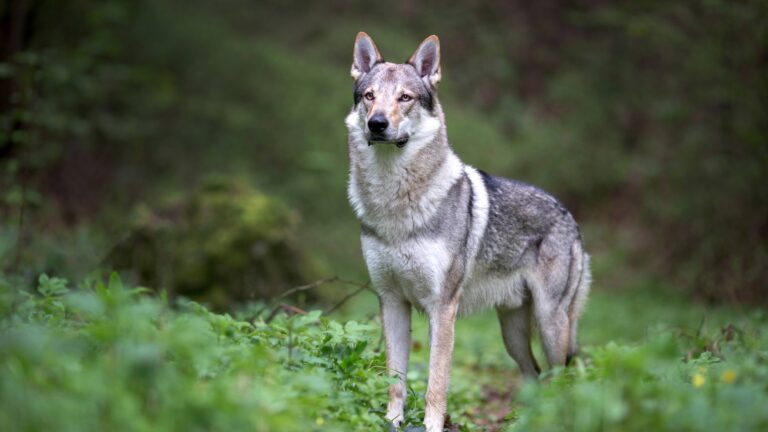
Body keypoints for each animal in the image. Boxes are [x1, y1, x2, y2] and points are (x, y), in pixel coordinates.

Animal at [345, 32, 591, 432]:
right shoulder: (391, 302)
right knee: (534, 374)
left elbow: (436, 381)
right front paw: (393, 422)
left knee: (561, 376)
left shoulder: (442, 309)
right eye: (369, 96)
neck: (395, 205)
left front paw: (430, 425)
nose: (377, 123)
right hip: (513, 334)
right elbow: (396, 379)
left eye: (405, 98)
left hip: (551, 324)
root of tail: (569, 215)